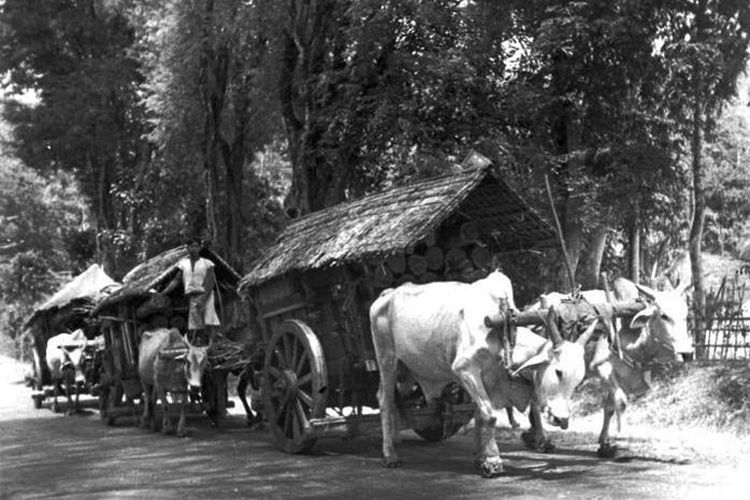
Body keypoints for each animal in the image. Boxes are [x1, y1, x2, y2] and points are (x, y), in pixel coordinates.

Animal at [372, 272, 600, 478]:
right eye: (558, 371)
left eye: (577, 381)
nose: (562, 419)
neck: (503, 337)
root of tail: (387, 294)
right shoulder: (464, 369)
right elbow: (489, 416)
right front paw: (493, 461)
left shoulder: (486, 381)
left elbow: (481, 416)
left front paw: (481, 458)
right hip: (387, 359)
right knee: (385, 400)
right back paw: (390, 454)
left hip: (410, 369)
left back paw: (396, 439)